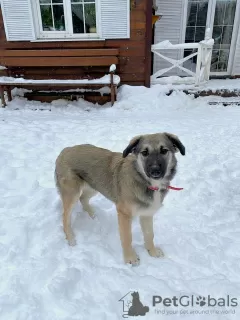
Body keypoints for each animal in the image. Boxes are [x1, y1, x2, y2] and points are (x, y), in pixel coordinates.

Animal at [54, 132, 186, 264]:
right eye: (144, 152)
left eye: (164, 151)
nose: (155, 170)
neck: (146, 182)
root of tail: (65, 150)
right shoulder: (124, 214)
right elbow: (127, 237)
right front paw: (130, 258)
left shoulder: (147, 213)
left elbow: (149, 234)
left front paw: (152, 252)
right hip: (72, 193)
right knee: (65, 216)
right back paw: (70, 238)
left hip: (95, 186)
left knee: (83, 198)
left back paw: (92, 215)